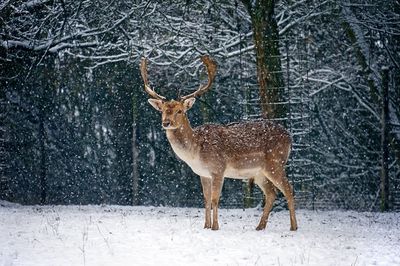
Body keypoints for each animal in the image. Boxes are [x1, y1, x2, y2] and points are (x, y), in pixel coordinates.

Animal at [141, 55, 296, 231]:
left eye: (179, 111)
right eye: (162, 110)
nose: (166, 123)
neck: (196, 151)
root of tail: (289, 137)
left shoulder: (218, 169)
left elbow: (215, 199)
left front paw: (215, 227)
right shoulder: (203, 173)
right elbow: (206, 200)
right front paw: (206, 226)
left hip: (275, 163)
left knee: (289, 190)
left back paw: (293, 227)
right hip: (259, 173)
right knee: (271, 194)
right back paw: (259, 227)